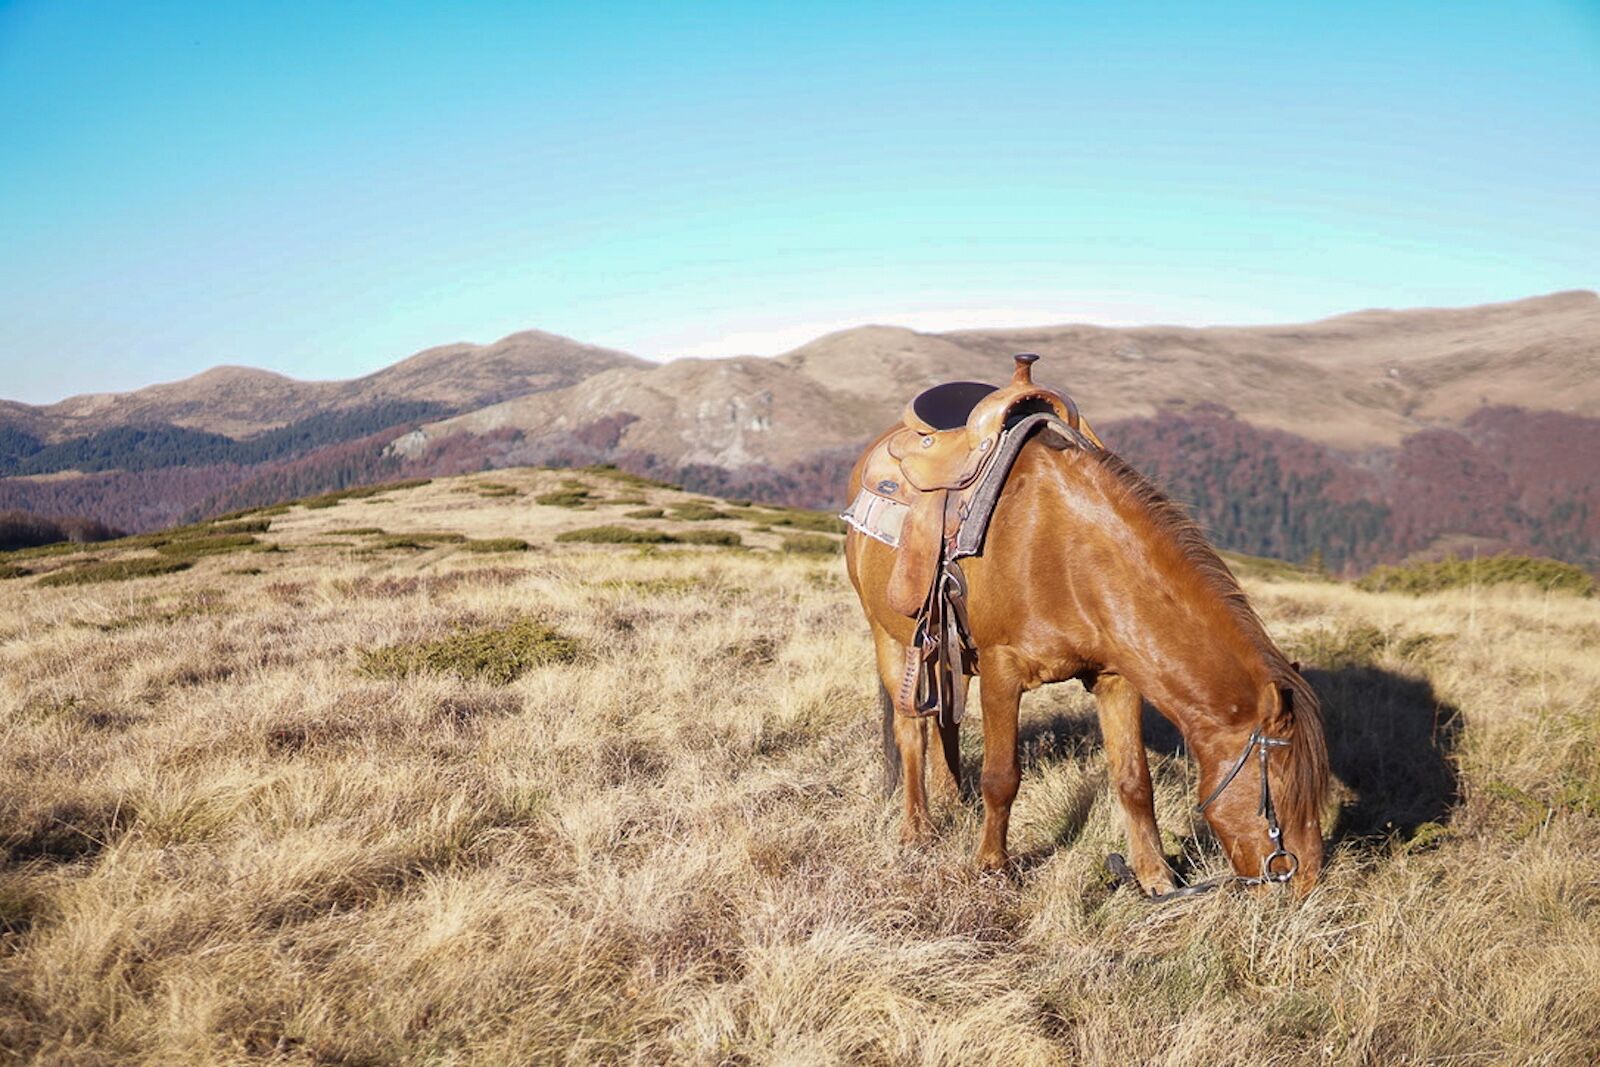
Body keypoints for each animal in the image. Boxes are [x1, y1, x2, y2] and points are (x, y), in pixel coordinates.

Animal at [844, 412, 1331, 895]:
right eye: (1281, 795)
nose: (1306, 884)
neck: (1064, 551)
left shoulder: (1117, 679)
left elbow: (1134, 780)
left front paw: (1154, 876)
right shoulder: (1002, 671)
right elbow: (1001, 778)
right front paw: (993, 868)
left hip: (951, 653)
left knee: (947, 719)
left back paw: (951, 798)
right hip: (891, 640)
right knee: (912, 732)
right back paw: (918, 829)